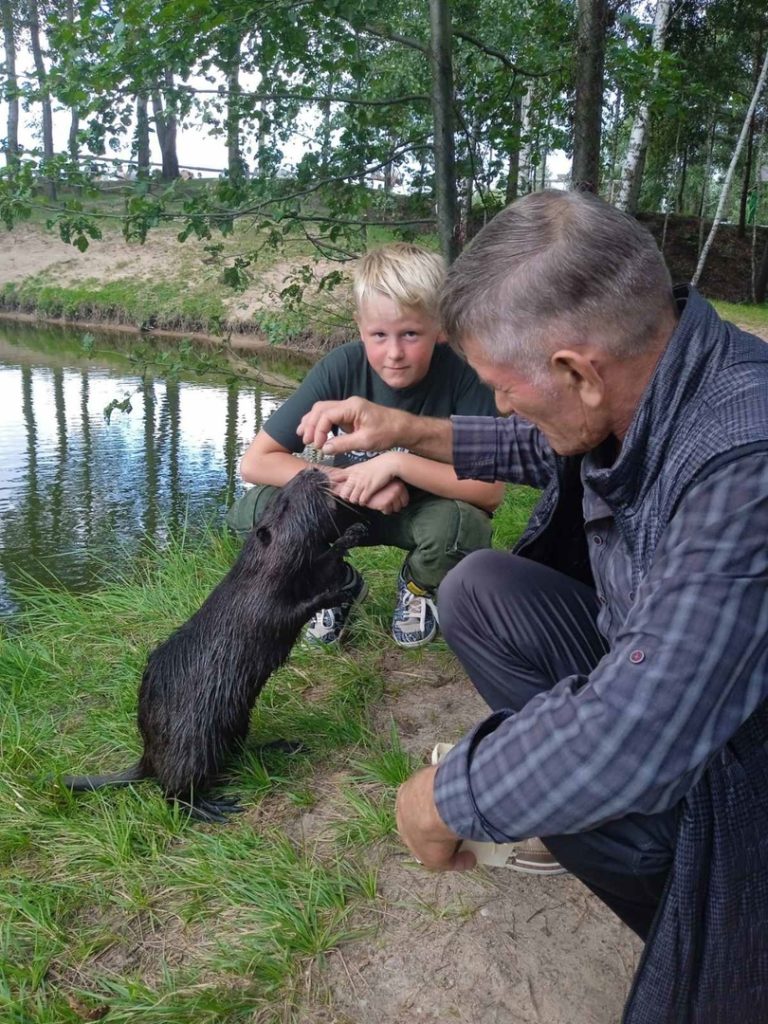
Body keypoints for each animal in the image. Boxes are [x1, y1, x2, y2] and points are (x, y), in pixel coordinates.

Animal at [58, 468, 364, 819]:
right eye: (283, 502)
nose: (309, 470)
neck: (253, 574)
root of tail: (147, 759)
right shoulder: (257, 607)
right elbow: (292, 613)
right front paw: (337, 592)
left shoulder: (305, 572)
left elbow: (322, 563)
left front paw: (352, 535)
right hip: (195, 742)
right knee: (172, 793)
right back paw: (213, 807)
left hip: (236, 721)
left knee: (234, 755)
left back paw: (281, 746)